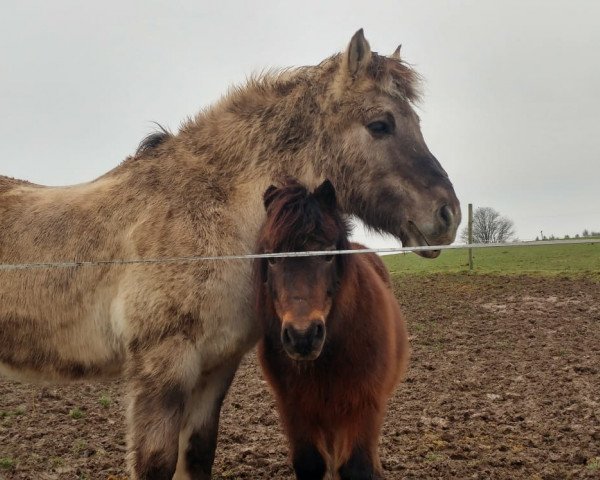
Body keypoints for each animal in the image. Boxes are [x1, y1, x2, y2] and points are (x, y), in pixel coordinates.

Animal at [255, 180, 410, 480]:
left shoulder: (362, 406)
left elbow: (356, 467)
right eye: (272, 258)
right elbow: (311, 464)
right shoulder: (295, 409)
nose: (303, 336)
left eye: (327, 255)